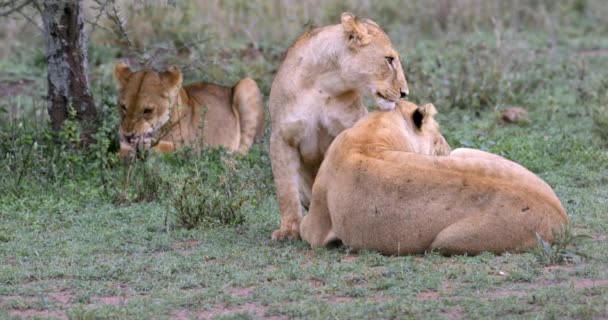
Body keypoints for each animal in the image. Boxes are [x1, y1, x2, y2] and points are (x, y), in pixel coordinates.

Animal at [114, 62, 266, 158]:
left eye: (147, 110)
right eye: (123, 107)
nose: (128, 136)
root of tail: (226, 87)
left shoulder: (193, 150)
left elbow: (167, 147)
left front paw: (141, 145)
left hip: (248, 83)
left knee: (242, 154)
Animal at [270, 12, 408, 241]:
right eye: (389, 60)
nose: (405, 93)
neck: (322, 83)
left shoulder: (351, 128)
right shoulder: (282, 137)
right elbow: (285, 189)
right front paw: (288, 230)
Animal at [302, 100, 572, 255]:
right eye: (440, 132)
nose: (446, 146)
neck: (371, 133)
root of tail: (561, 220)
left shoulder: (316, 230)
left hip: (446, 240)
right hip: (465, 153)